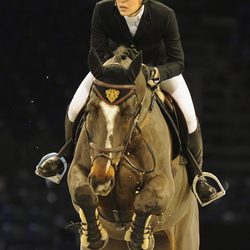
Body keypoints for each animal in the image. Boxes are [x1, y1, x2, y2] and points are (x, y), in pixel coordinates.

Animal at [67, 47, 199, 250]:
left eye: (130, 112)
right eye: (90, 109)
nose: (101, 180)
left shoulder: (164, 181)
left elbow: (145, 201)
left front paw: (139, 239)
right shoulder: (79, 169)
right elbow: (83, 193)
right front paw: (94, 237)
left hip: (185, 232)